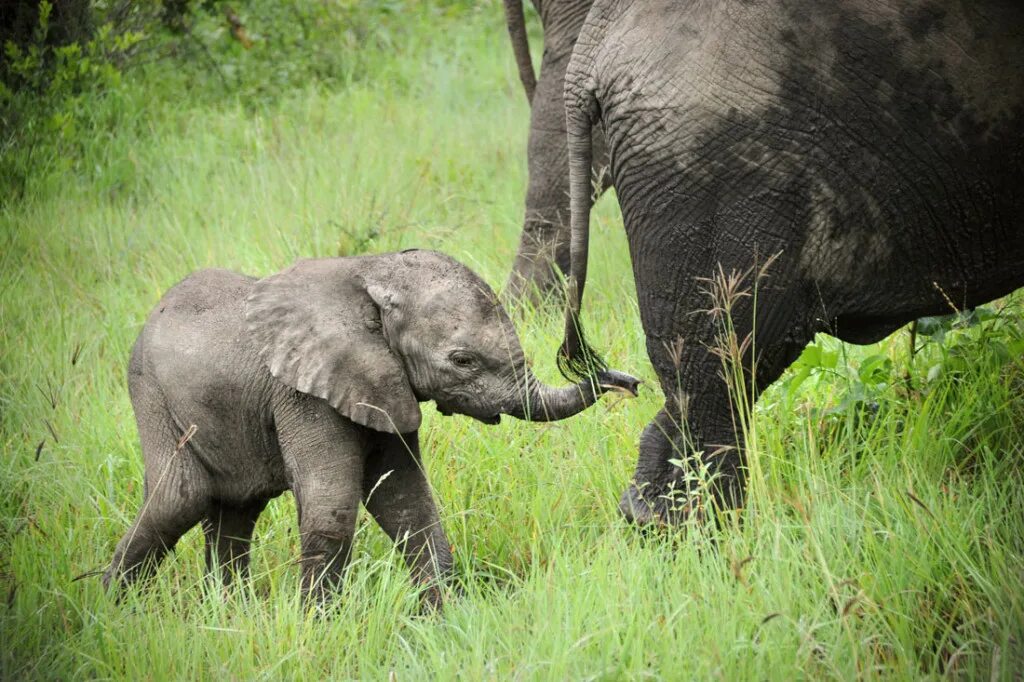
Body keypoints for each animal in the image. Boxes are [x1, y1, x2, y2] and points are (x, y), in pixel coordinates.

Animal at [103, 249, 630, 606]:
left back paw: (231, 614)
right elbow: (334, 507)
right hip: (150, 390)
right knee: (180, 498)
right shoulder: (305, 393)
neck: (371, 272)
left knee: (235, 510)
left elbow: (406, 502)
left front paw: (448, 619)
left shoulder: (382, 388)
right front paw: (316, 629)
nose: (623, 379)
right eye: (463, 360)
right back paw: (111, 611)